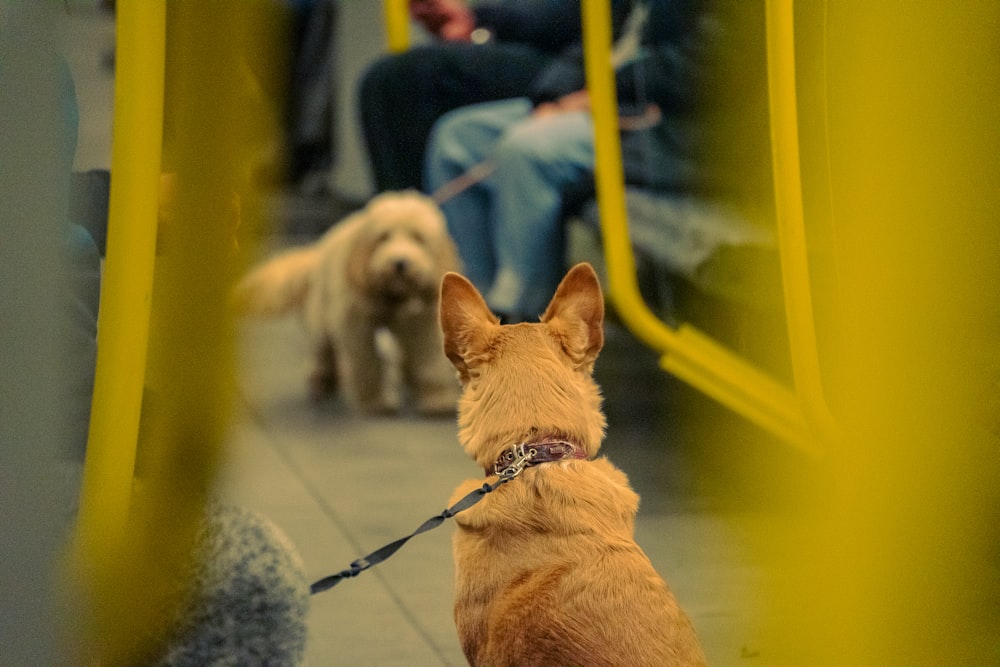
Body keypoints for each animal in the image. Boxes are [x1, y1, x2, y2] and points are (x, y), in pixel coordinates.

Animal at [236, 190, 462, 414]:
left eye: (418, 238)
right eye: (383, 237)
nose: (399, 263)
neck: (393, 295)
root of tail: (319, 249)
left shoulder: (423, 324)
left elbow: (430, 361)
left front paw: (437, 398)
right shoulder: (357, 326)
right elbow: (367, 364)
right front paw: (375, 400)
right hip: (322, 316)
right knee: (323, 351)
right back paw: (321, 380)